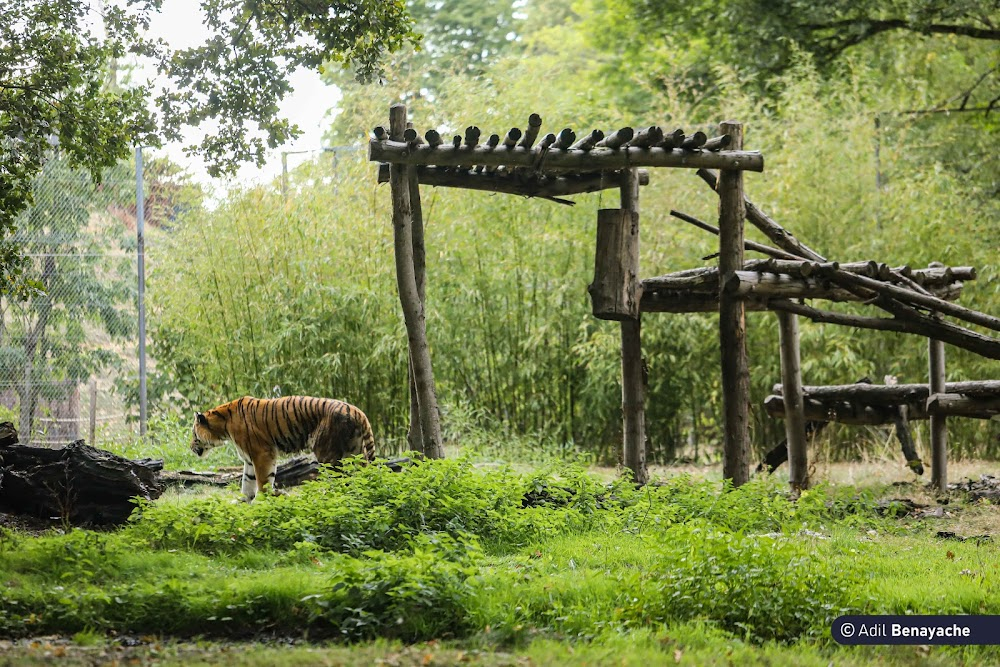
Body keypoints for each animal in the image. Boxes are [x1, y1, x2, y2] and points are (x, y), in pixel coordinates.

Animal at [189, 396, 374, 500]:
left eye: (193, 433)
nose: (190, 447)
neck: (224, 427)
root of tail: (358, 412)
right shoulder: (249, 459)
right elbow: (247, 483)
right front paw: (243, 502)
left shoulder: (262, 453)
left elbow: (263, 481)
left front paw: (266, 499)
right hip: (355, 452)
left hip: (328, 455)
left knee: (339, 479)